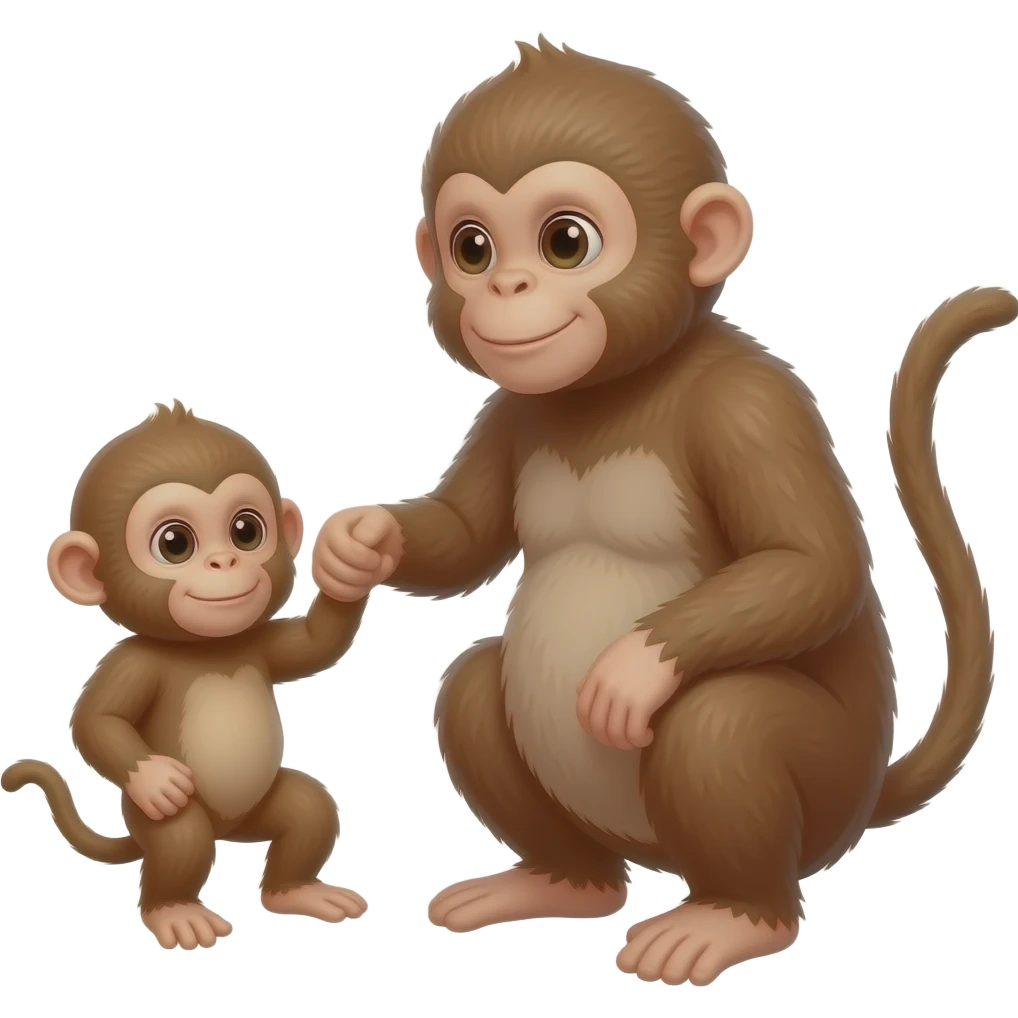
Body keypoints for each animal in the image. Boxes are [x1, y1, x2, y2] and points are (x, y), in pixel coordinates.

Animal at [1, 400, 379, 951]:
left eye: (247, 530)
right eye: (175, 543)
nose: (224, 560)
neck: (205, 649)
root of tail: (230, 831)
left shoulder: (258, 642)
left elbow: (316, 643)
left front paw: (355, 559)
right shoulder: (133, 663)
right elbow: (96, 720)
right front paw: (156, 778)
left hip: (265, 809)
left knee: (309, 810)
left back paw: (298, 892)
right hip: (160, 823)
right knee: (183, 841)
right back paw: (177, 913)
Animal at [314, 37, 1015, 986]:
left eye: (566, 241)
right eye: (472, 247)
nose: (505, 287)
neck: (618, 387)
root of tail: (872, 792)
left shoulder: (751, 408)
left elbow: (813, 564)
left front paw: (634, 667)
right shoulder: (511, 410)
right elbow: (463, 536)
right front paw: (362, 541)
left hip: (822, 792)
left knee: (720, 726)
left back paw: (729, 919)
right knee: (477, 693)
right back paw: (558, 882)